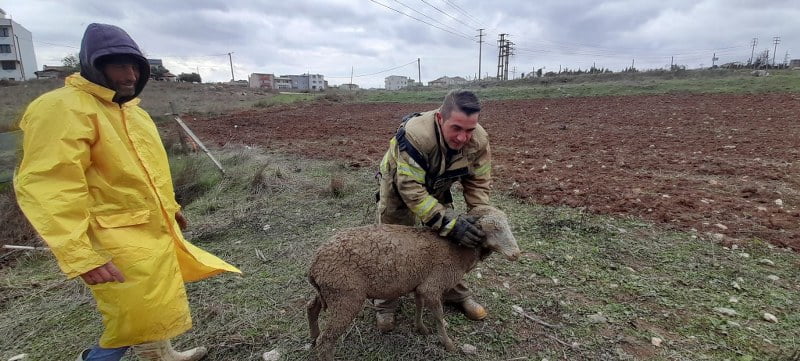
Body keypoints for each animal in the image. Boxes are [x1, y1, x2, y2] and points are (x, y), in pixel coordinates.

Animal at [304, 205, 520, 360]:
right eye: (494, 229)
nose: (516, 254)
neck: (456, 251)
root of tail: (314, 265)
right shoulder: (433, 287)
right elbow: (439, 317)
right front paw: (448, 344)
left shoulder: (420, 285)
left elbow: (419, 306)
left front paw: (420, 328)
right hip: (346, 298)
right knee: (327, 340)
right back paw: (320, 342)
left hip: (329, 292)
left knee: (311, 307)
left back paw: (313, 335)